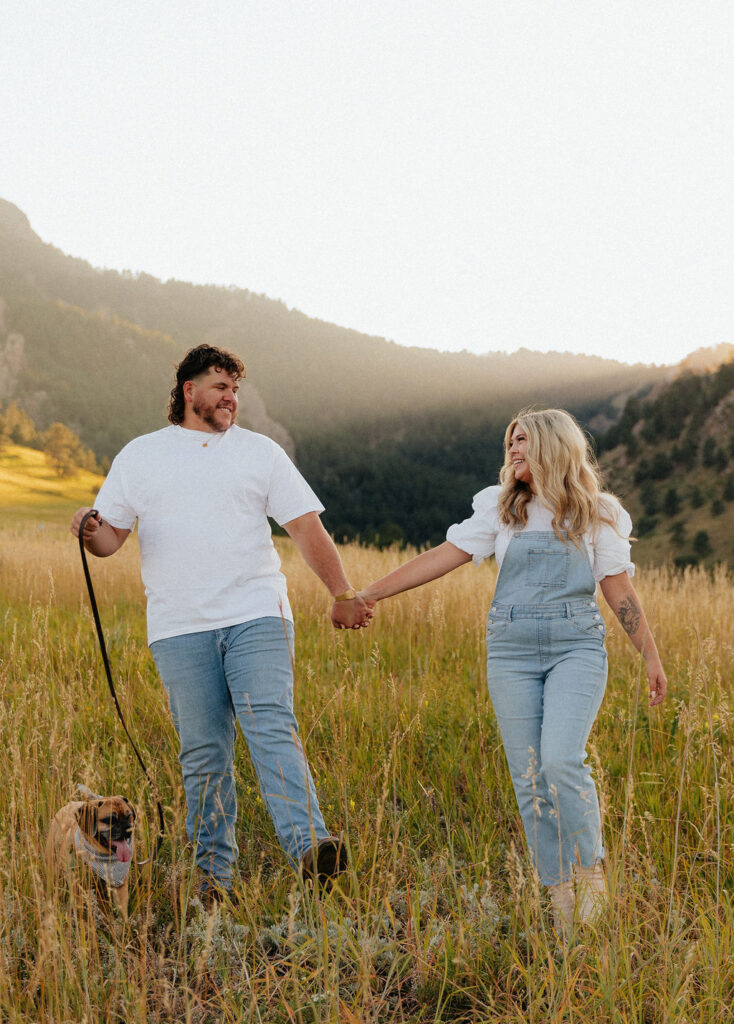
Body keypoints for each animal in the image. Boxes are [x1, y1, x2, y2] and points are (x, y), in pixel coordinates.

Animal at [47, 782, 136, 921]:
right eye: (110, 820)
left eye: (128, 816)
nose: (128, 829)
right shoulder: (77, 888)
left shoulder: (119, 888)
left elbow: (122, 914)